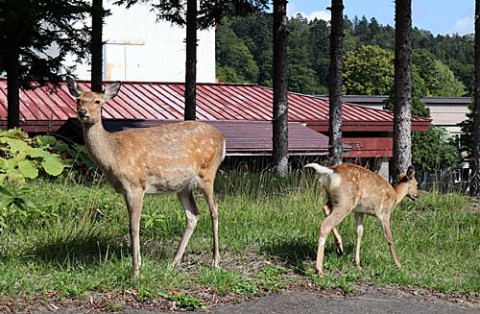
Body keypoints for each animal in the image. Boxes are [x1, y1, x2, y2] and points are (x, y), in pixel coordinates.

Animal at [65, 76, 227, 282]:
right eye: (78, 99)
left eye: (97, 101)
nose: (82, 112)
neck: (113, 153)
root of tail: (222, 138)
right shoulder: (126, 190)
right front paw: (137, 268)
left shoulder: (135, 185)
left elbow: (133, 227)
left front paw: (136, 272)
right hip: (182, 185)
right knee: (193, 214)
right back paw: (173, 263)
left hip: (208, 172)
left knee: (214, 209)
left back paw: (215, 261)